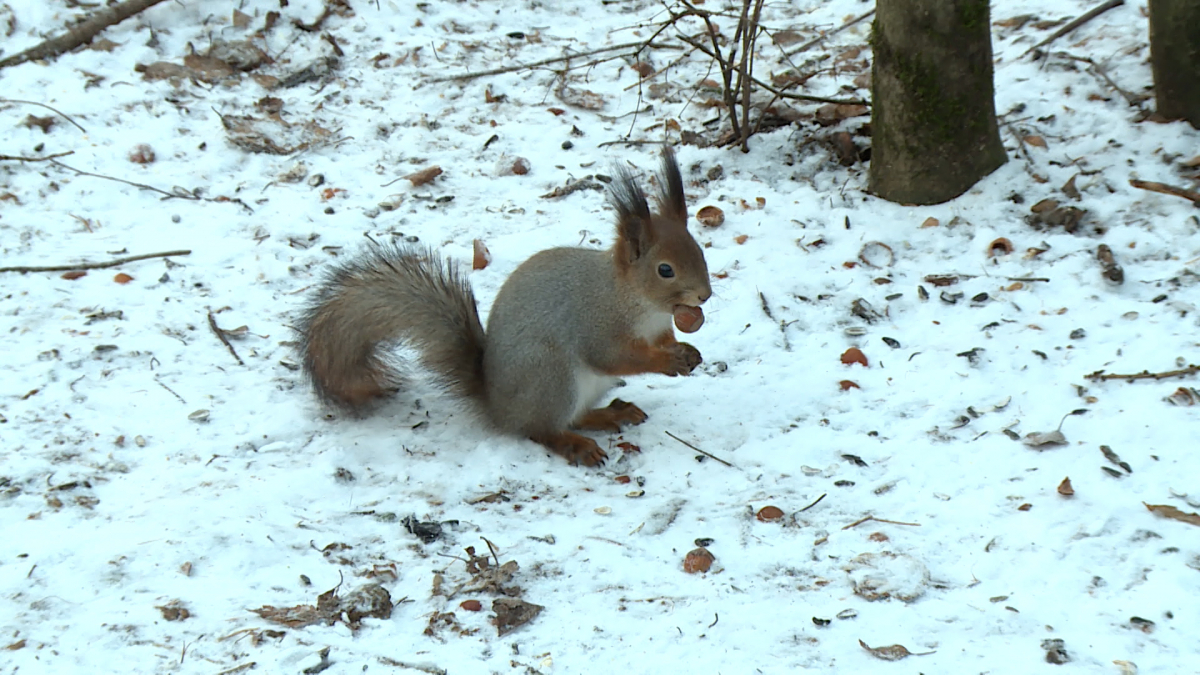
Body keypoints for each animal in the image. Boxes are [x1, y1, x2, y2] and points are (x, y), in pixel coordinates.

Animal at [298, 145, 705, 461]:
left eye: (699, 249)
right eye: (665, 270)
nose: (704, 295)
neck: (640, 304)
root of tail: (498, 409)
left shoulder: (658, 328)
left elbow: (666, 341)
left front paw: (687, 352)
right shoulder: (596, 322)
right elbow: (617, 356)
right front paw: (666, 361)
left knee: (571, 418)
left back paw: (610, 415)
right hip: (550, 376)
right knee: (542, 430)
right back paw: (577, 445)